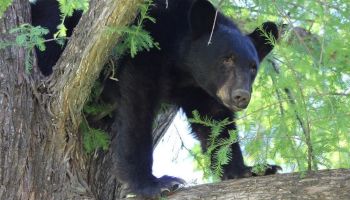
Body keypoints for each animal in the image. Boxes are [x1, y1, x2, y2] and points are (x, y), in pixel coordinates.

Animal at [31, 0, 280, 198]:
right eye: (227, 59)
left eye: (252, 67)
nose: (241, 96)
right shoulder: (145, 46)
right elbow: (137, 108)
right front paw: (155, 183)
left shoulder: (199, 88)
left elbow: (216, 123)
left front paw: (248, 169)